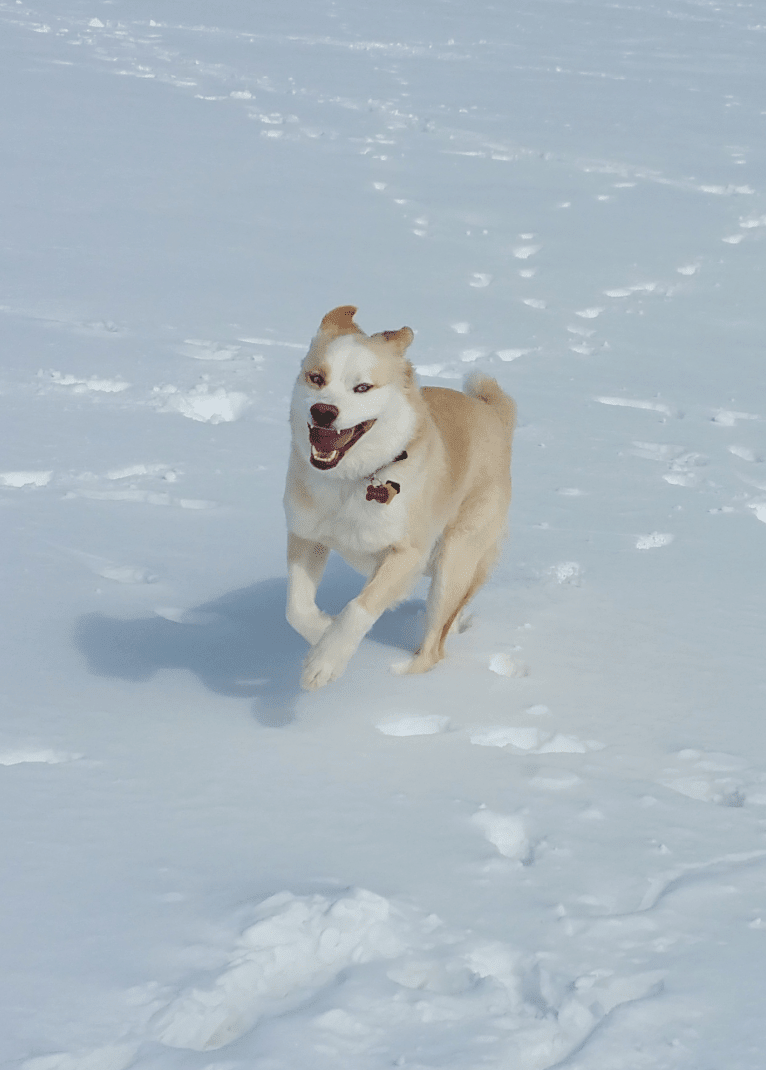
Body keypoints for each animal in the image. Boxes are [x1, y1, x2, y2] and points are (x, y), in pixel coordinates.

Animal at [284, 308, 517, 693]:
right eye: (316, 378)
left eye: (362, 387)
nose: (323, 411)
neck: (353, 481)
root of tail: (494, 416)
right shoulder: (306, 536)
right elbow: (296, 608)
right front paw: (321, 633)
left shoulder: (407, 554)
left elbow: (359, 608)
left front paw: (325, 662)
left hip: (454, 559)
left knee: (433, 649)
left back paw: (399, 682)